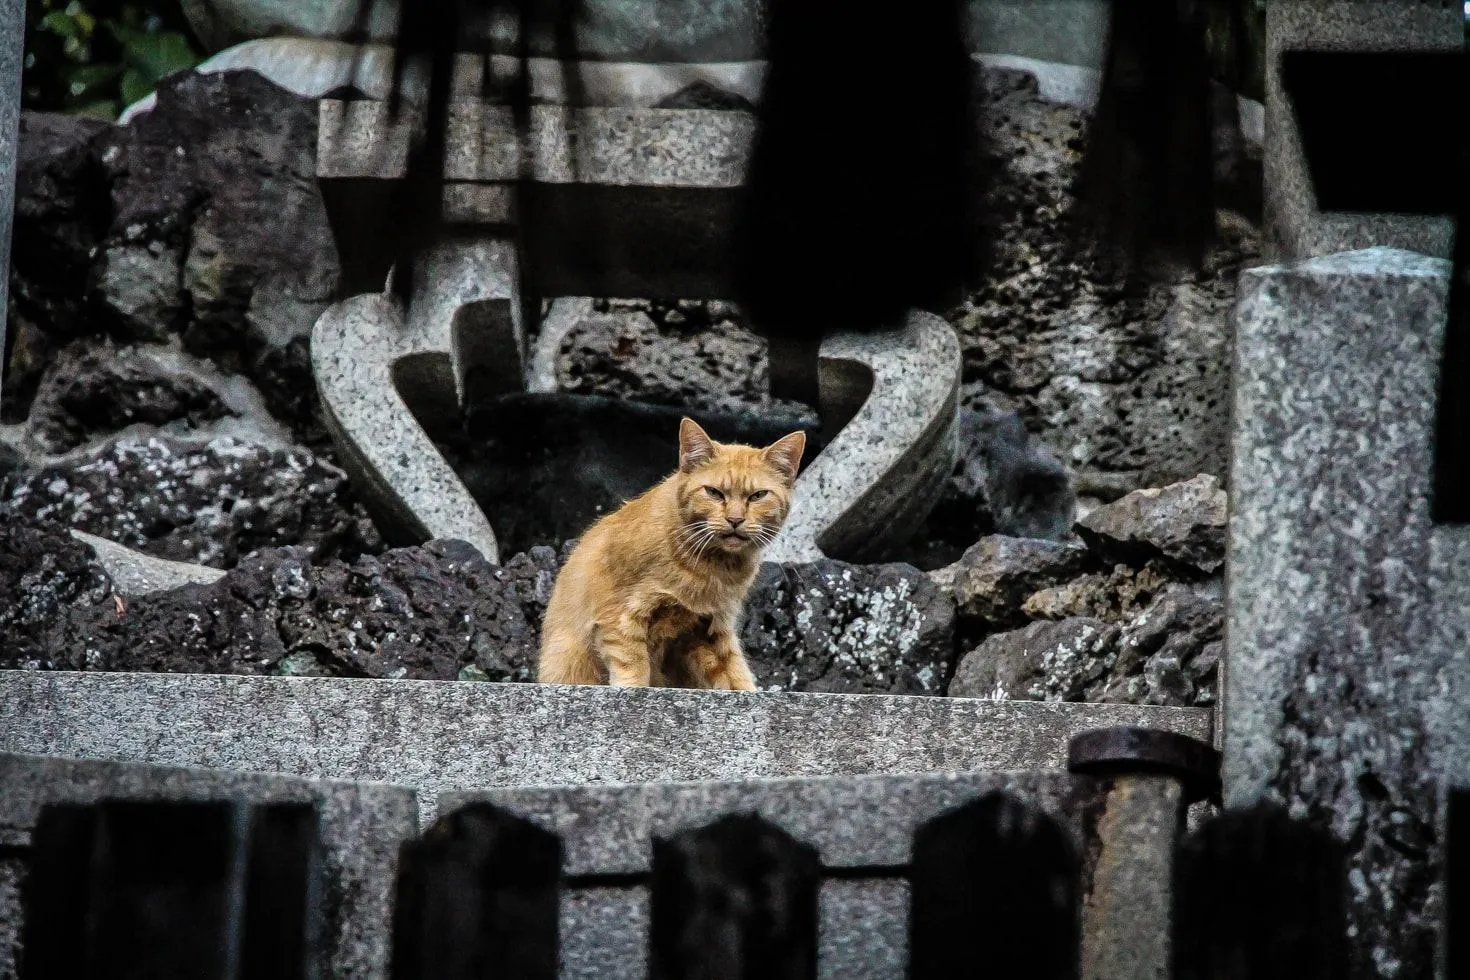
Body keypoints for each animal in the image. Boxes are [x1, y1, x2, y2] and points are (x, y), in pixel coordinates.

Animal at [535, 420, 805, 690]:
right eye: (714, 493)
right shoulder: (619, 613)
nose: (735, 519)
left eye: (758, 495)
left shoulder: (712, 626)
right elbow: (632, 663)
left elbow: (734, 671)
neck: (711, 568)